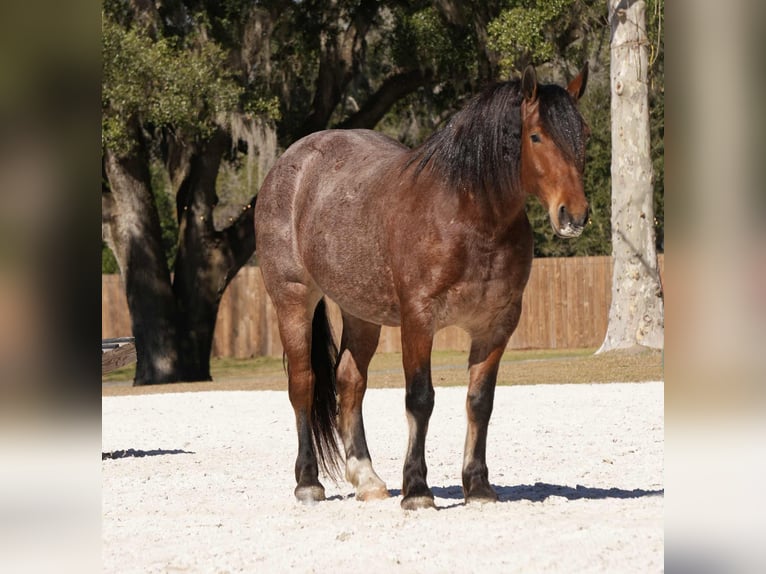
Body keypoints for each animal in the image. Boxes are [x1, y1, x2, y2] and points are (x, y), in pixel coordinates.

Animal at [254, 64, 590, 510]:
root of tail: (289, 164)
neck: (469, 216)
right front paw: (416, 489)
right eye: (535, 136)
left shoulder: (496, 325)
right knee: (303, 383)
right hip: (293, 300)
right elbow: (420, 399)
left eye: (584, 133)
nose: (575, 215)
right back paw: (309, 482)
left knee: (349, 381)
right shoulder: (418, 321)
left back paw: (367, 479)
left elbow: (480, 402)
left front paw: (478, 486)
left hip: (361, 313)